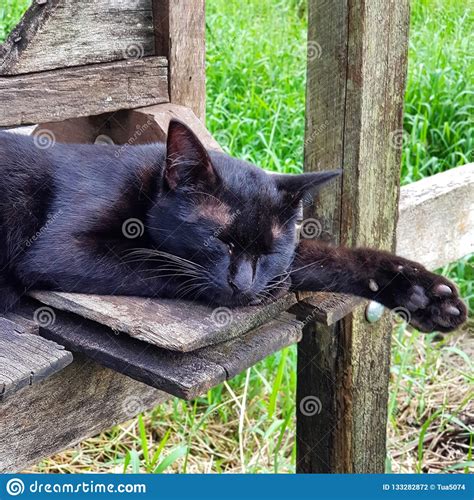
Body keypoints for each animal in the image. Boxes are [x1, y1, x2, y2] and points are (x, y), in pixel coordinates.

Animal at [0, 120, 466, 332]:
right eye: (219, 241)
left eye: (269, 250)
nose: (242, 285)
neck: (147, 186)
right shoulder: (63, 247)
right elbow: (159, 265)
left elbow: (338, 257)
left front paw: (424, 293)